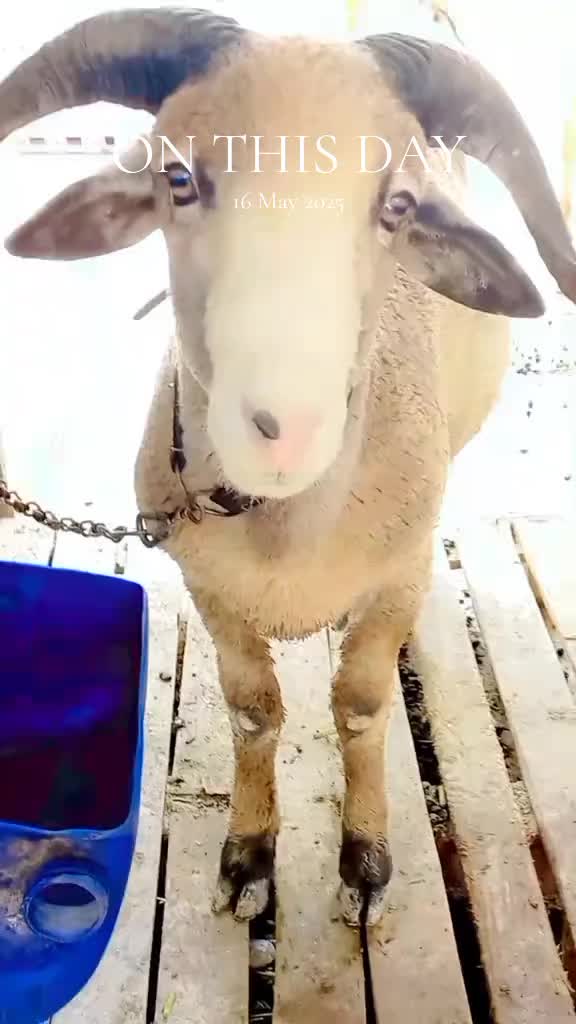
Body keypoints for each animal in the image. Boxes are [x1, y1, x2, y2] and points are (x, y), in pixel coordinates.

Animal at [1, 9, 575, 927]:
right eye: (177, 178)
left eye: (398, 204)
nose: (284, 426)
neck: (287, 533)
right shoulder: (210, 589)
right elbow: (253, 713)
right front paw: (250, 857)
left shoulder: (394, 576)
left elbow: (362, 708)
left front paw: (365, 863)